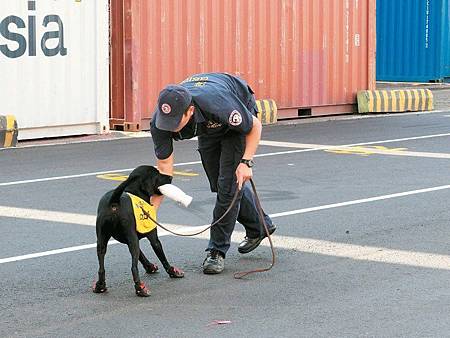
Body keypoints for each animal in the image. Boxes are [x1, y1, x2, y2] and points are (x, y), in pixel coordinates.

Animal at [93, 165, 185, 298]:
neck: (134, 190)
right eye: (157, 174)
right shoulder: (152, 238)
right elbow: (163, 258)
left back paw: (100, 285)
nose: (170, 176)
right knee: (133, 268)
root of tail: (114, 201)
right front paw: (172, 271)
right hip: (131, 240)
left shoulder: (129, 241)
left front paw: (150, 267)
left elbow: (141, 255)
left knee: (101, 267)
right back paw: (140, 288)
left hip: (102, 240)